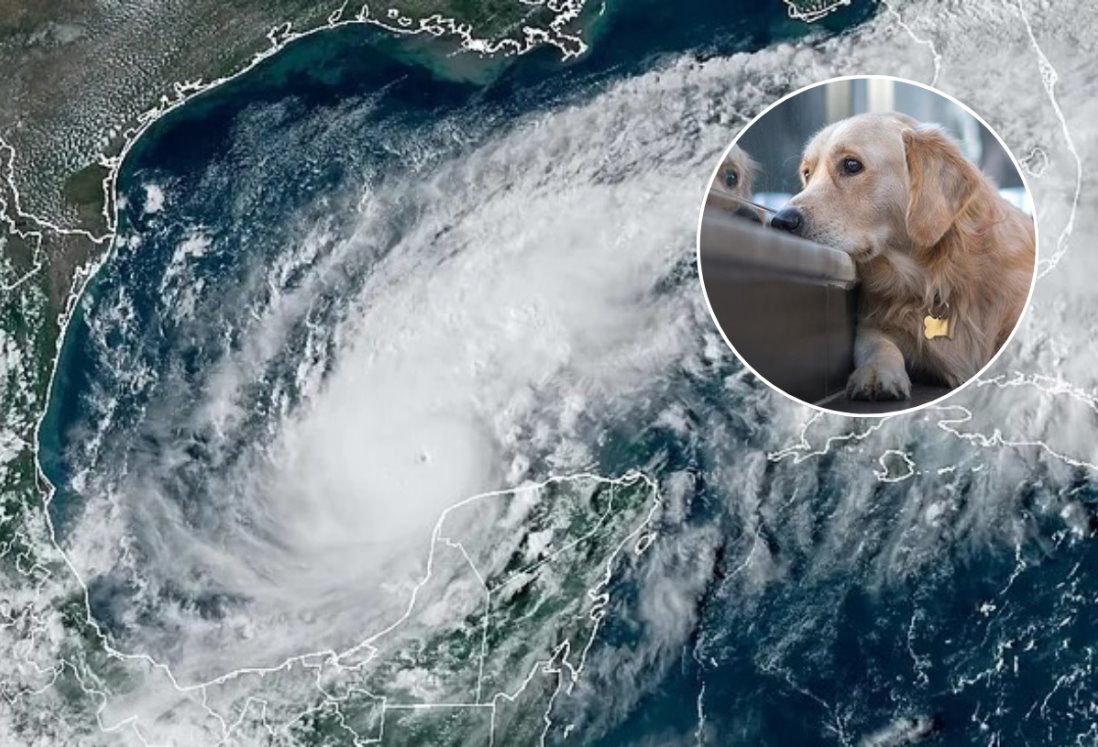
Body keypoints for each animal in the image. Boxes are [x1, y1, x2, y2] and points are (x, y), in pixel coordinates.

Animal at [768, 110, 1032, 399]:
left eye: (851, 165)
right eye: (807, 173)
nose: (781, 221)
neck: (935, 280)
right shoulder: (873, 324)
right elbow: (876, 344)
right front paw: (876, 371)